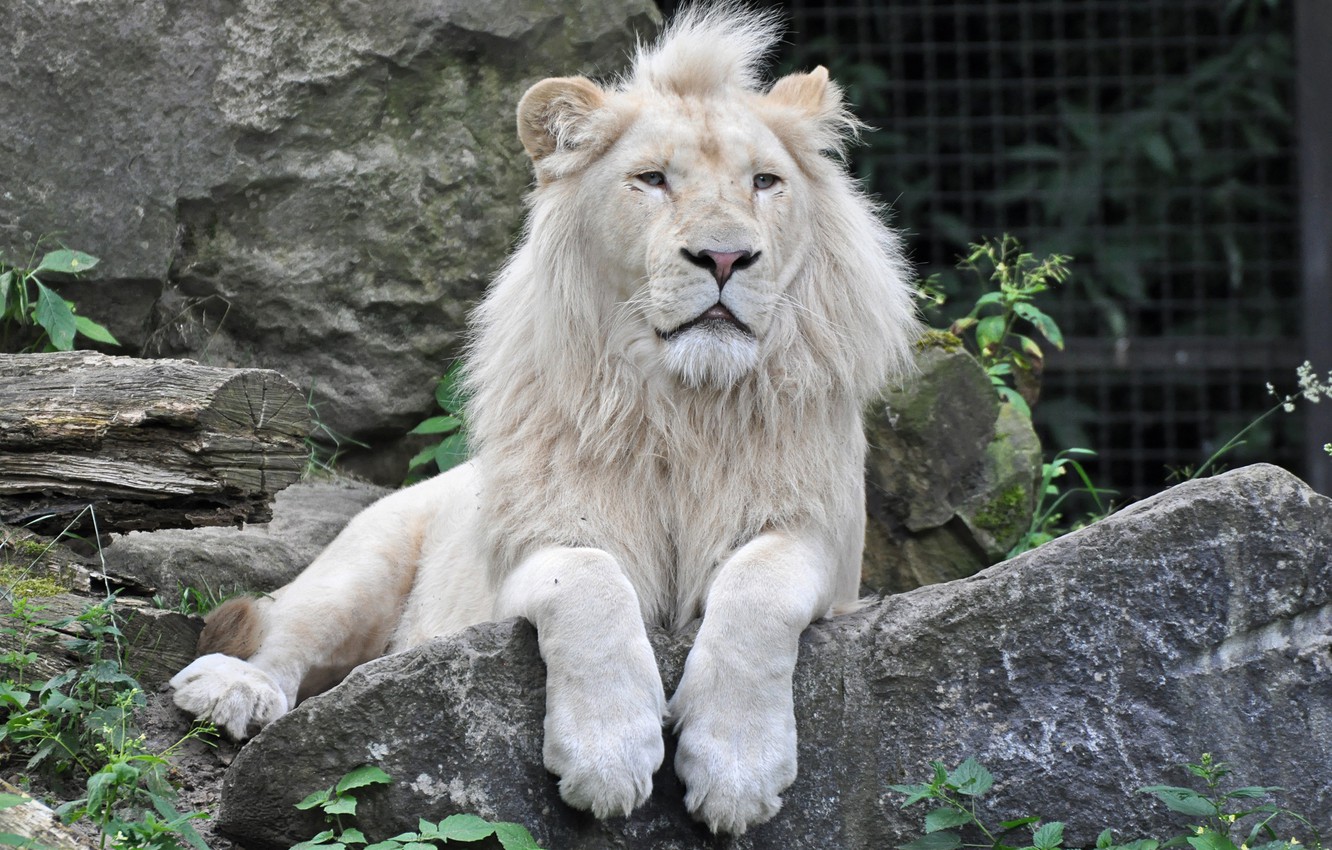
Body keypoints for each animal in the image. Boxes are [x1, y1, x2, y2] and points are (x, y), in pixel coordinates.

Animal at [170, 4, 920, 835]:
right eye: (652, 179)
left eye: (765, 182)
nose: (725, 259)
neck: (684, 403)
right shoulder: (535, 540)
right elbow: (589, 584)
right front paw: (608, 759)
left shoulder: (825, 543)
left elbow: (757, 589)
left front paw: (736, 768)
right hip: (363, 562)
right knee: (285, 637)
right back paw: (235, 692)